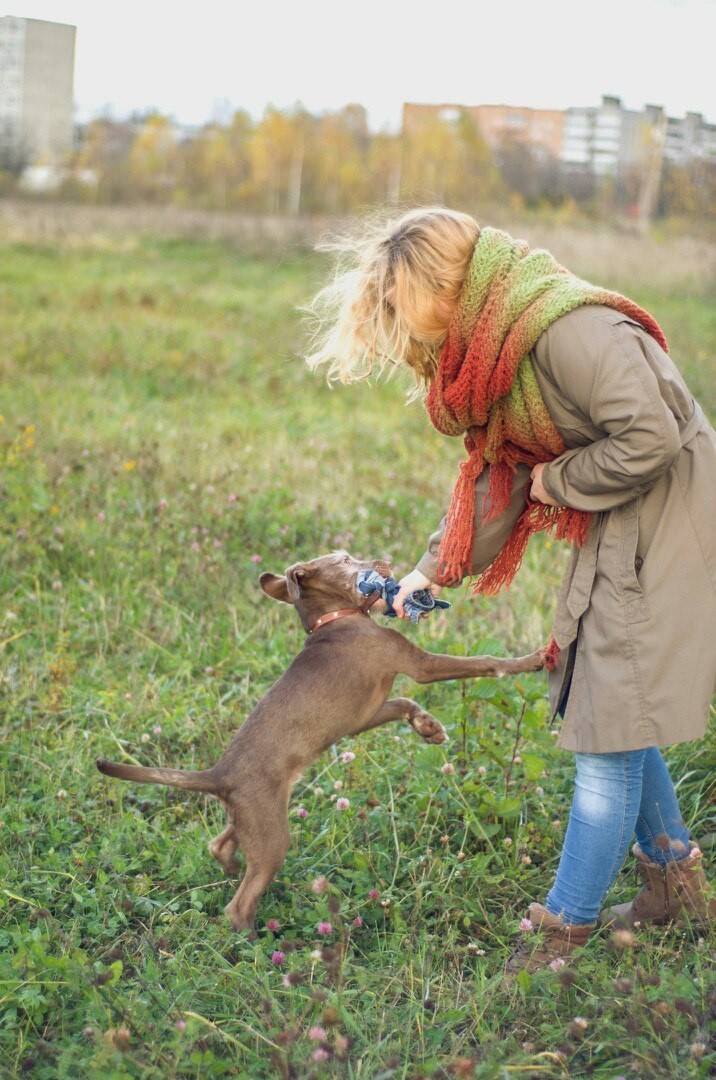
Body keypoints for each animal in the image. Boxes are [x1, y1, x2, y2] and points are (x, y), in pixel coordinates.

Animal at [95, 552, 544, 933]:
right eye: (345, 560)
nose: (384, 560)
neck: (334, 618)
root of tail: (218, 774)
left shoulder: (364, 715)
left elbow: (402, 702)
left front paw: (427, 726)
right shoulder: (418, 664)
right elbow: (483, 663)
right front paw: (532, 659)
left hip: (253, 818)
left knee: (220, 845)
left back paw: (233, 875)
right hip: (272, 834)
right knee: (238, 905)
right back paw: (258, 947)